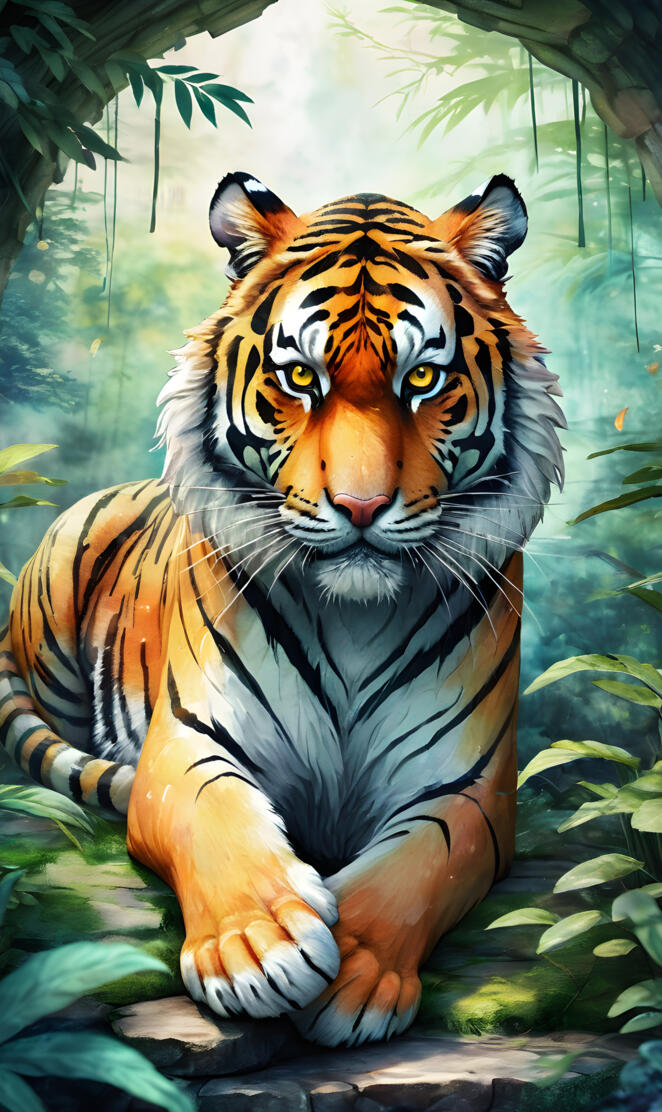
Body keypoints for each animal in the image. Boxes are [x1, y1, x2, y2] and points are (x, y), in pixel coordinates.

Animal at [0, 171, 564, 1047]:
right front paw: (256, 946)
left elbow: (418, 863)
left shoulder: (469, 790)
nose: (361, 507)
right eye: (301, 379)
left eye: (423, 380)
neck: (355, 619)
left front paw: (356, 968)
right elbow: (215, 813)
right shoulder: (186, 745)